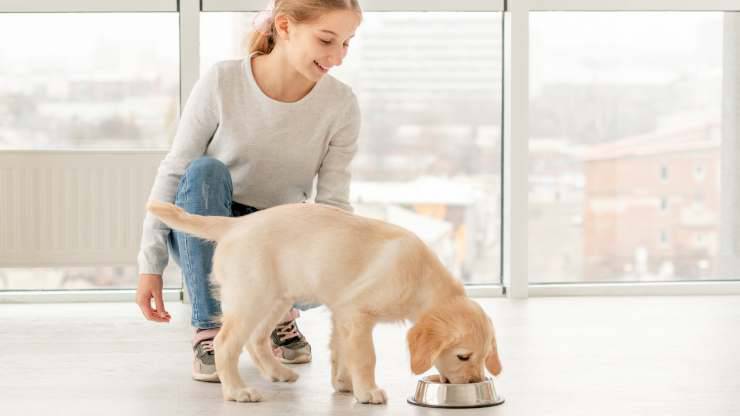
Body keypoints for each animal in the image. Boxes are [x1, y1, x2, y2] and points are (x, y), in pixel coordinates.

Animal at [146, 200, 502, 404]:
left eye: (484, 355)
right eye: (463, 355)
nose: (475, 382)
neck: (419, 277)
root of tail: (235, 224)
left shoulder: (342, 313)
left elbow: (340, 351)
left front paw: (344, 384)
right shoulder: (358, 314)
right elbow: (365, 357)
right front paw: (367, 392)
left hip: (277, 298)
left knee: (256, 340)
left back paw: (278, 373)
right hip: (252, 297)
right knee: (226, 344)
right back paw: (237, 391)